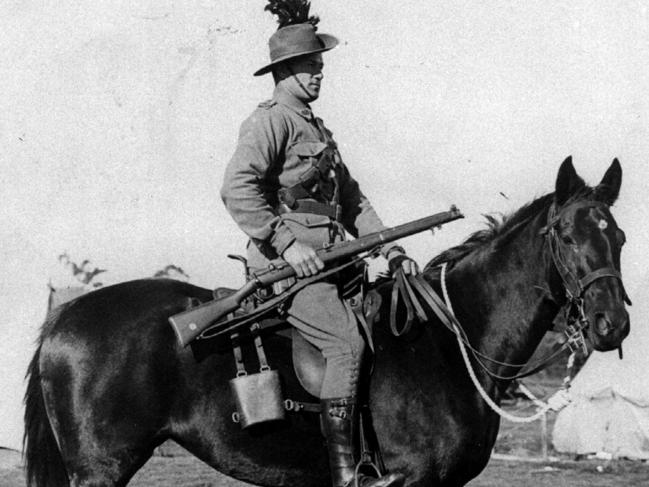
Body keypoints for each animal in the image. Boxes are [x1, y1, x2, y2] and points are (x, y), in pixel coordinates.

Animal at [24, 158, 628, 486]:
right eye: (567, 235)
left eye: (618, 236)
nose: (612, 324)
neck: (449, 341)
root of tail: (64, 318)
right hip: (101, 470)